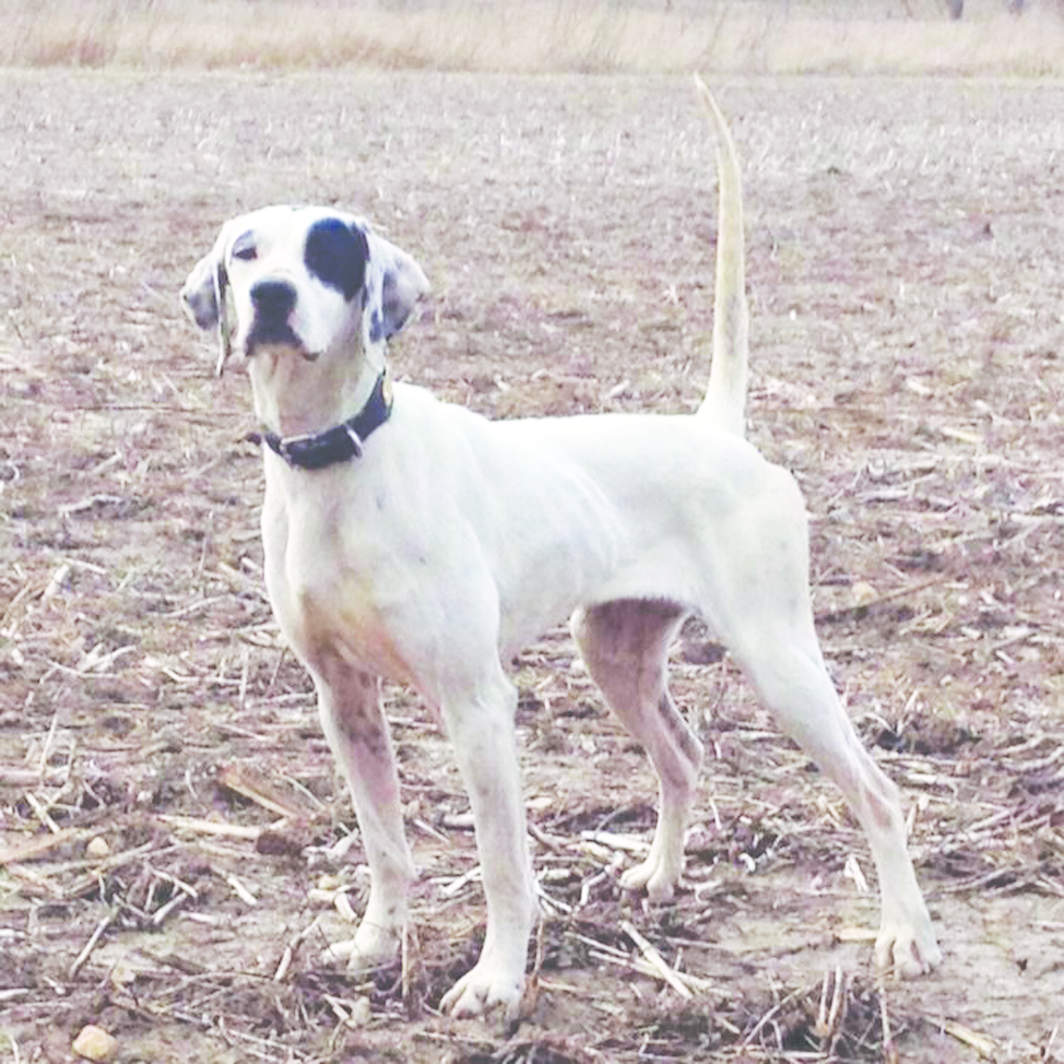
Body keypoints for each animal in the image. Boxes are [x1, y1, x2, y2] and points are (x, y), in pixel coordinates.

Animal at [183, 78, 940, 1017]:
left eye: (328, 254)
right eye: (246, 253)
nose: (274, 298)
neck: (342, 459)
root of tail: (715, 429)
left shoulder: (477, 705)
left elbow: (503, 866)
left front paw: (497, 980)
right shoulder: (343, 701)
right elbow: (386, 847)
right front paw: (376, 944)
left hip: (780, 661)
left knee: (878, 793)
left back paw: (907, 934)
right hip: (613, 653)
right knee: (683, 758)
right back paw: (660, 875)